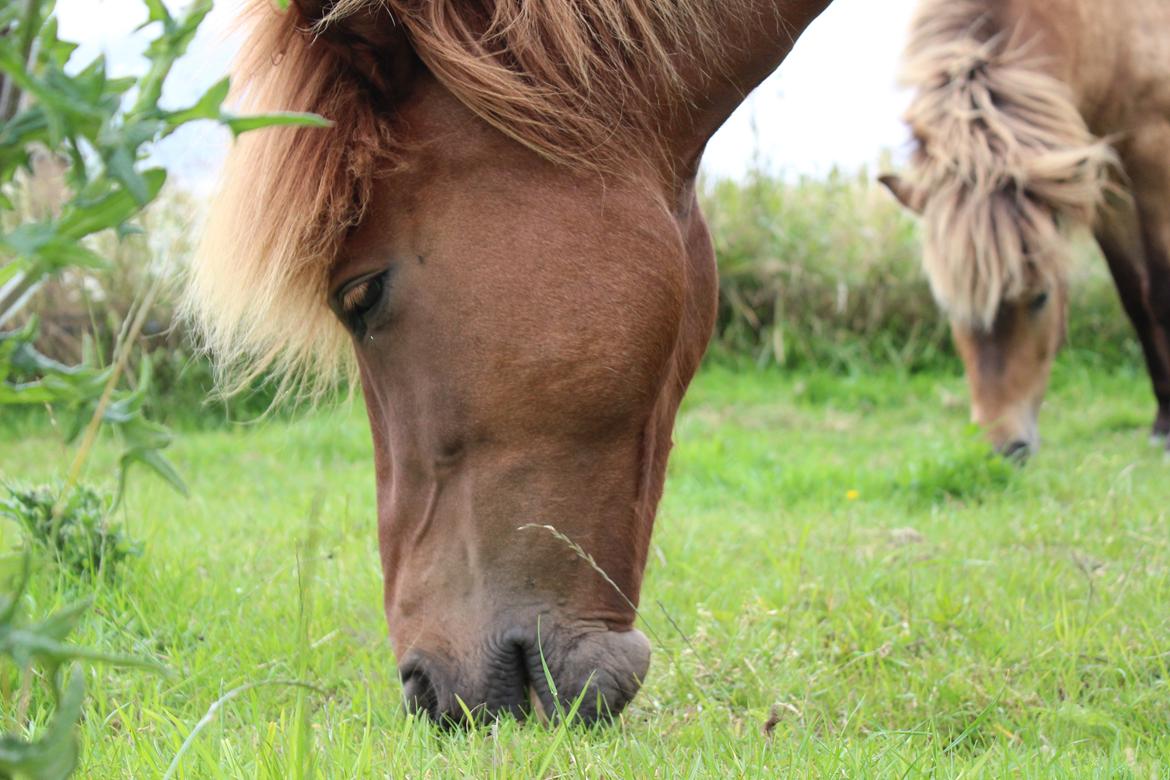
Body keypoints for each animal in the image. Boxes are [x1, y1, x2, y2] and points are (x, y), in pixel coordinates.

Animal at [879, 0, 1170, 458]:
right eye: (950, 307)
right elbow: (1134, 299)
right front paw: (1162, 421)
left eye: (1041, 298)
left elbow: (1160, 293)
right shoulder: (1104, 175)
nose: (1003, 448)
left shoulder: (1154, 152)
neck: (1106, 27)